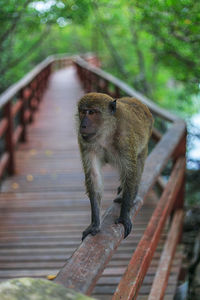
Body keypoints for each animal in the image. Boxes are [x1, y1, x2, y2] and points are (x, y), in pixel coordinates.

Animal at [76, 92, 153, 240]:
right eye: (83, 112)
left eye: (92, 112)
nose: (83, 125)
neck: (106, 133)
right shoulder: (85, 142)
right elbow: (94, 177)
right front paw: (95, 224)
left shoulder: (125, 138)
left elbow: (130, 173)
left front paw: (124, 216)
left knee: (138, 165)